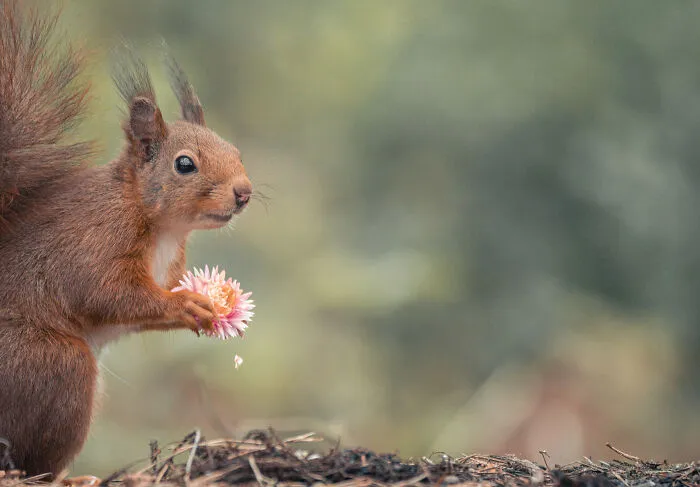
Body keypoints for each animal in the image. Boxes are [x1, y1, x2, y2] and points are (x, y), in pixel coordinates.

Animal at [0, 1, 253, 477]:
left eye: (236, 152)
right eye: (185, 164)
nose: (244, 192)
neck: (165, 228)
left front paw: (202, 310)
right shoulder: (93, 242)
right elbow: (108, 293)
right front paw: (186, 305)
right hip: (53, 366)